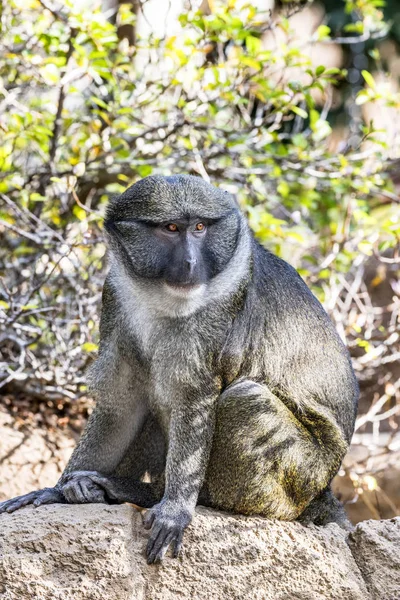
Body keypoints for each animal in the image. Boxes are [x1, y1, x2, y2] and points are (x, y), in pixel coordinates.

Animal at [0, 173, 358, 564]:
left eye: (200, 228)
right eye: (170, 228)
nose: (189, 262)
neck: (158, 298)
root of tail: (323, 493)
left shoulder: (215, 317)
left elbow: (195, 400)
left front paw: (175, 508)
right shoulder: (114, 297)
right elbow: (122, 404)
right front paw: (55, 490)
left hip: (299, 478)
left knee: (246, 400)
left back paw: (153, 494)